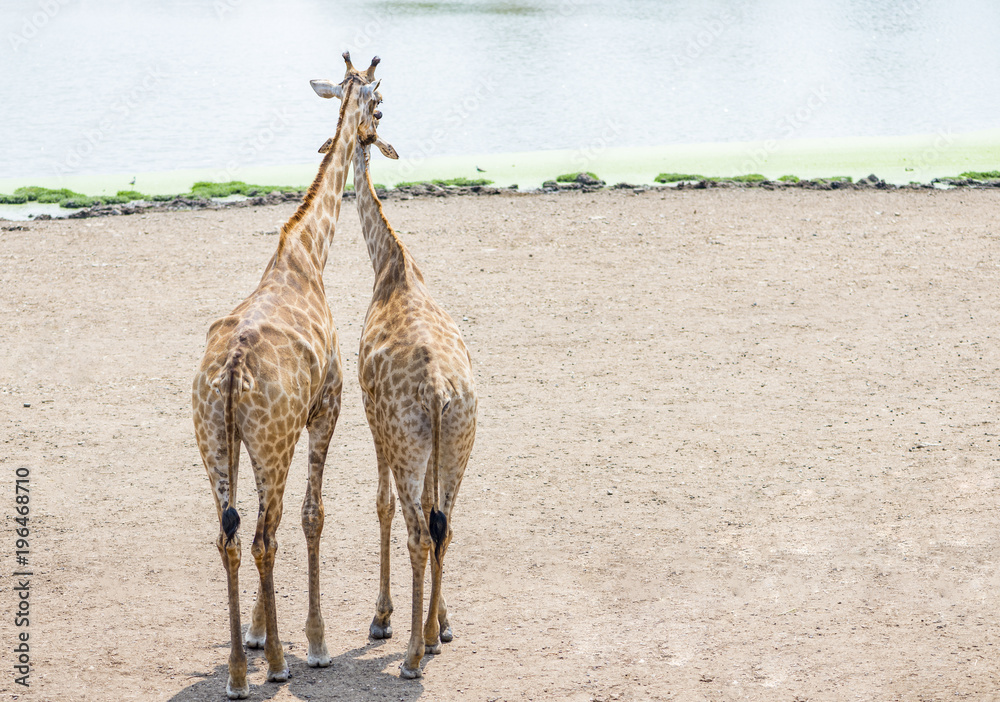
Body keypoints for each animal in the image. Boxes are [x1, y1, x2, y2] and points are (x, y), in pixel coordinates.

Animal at [192, 53, 386, 700]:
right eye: (379, 104)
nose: (371, 135)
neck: (307, 254)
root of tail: (229, 377)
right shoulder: (326, 407)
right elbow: (311, 516)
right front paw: (317, 643)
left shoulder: (266, 437)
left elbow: (274, 522)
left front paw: (255, 634)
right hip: (269, 441)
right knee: (260, 535)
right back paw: (277, 664)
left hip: (216, 441)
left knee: (230, 536)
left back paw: (238, 673)